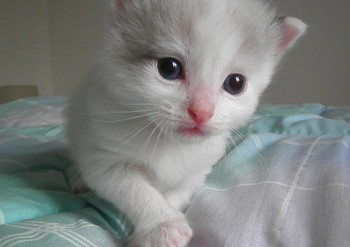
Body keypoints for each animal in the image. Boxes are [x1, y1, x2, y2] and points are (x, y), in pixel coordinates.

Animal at [67, 0, 304, 246]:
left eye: (236, 83)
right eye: (169, 68)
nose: (202, 112)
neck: (169, 142)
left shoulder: (198, 170)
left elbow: (178, 193)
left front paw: (165, 219)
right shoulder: (105, 157)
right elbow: (136, 191)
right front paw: (163, 226)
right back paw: (78, 179)